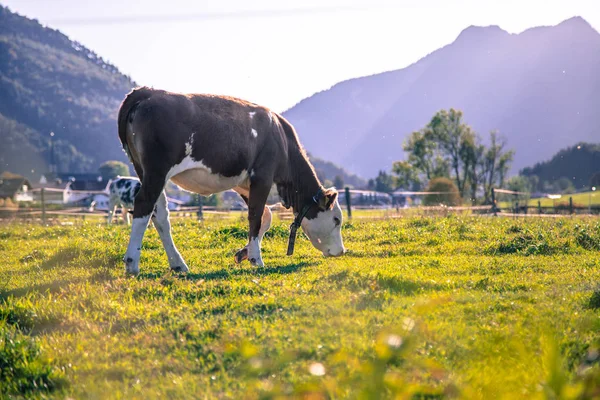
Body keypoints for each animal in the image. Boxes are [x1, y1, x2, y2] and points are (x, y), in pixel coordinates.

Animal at [116, 86, 344, 276]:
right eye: (336, 220)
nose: (342, 251)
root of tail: (149, 91)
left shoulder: (243, 183)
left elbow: (266, 216)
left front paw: (244, 253)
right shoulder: (263, 175)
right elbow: (255, 216)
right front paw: (256, 259)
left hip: (144, 169)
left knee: (160, 213)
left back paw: (178, 264)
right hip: (157, 169)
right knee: (144, 204)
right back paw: (132, 263)